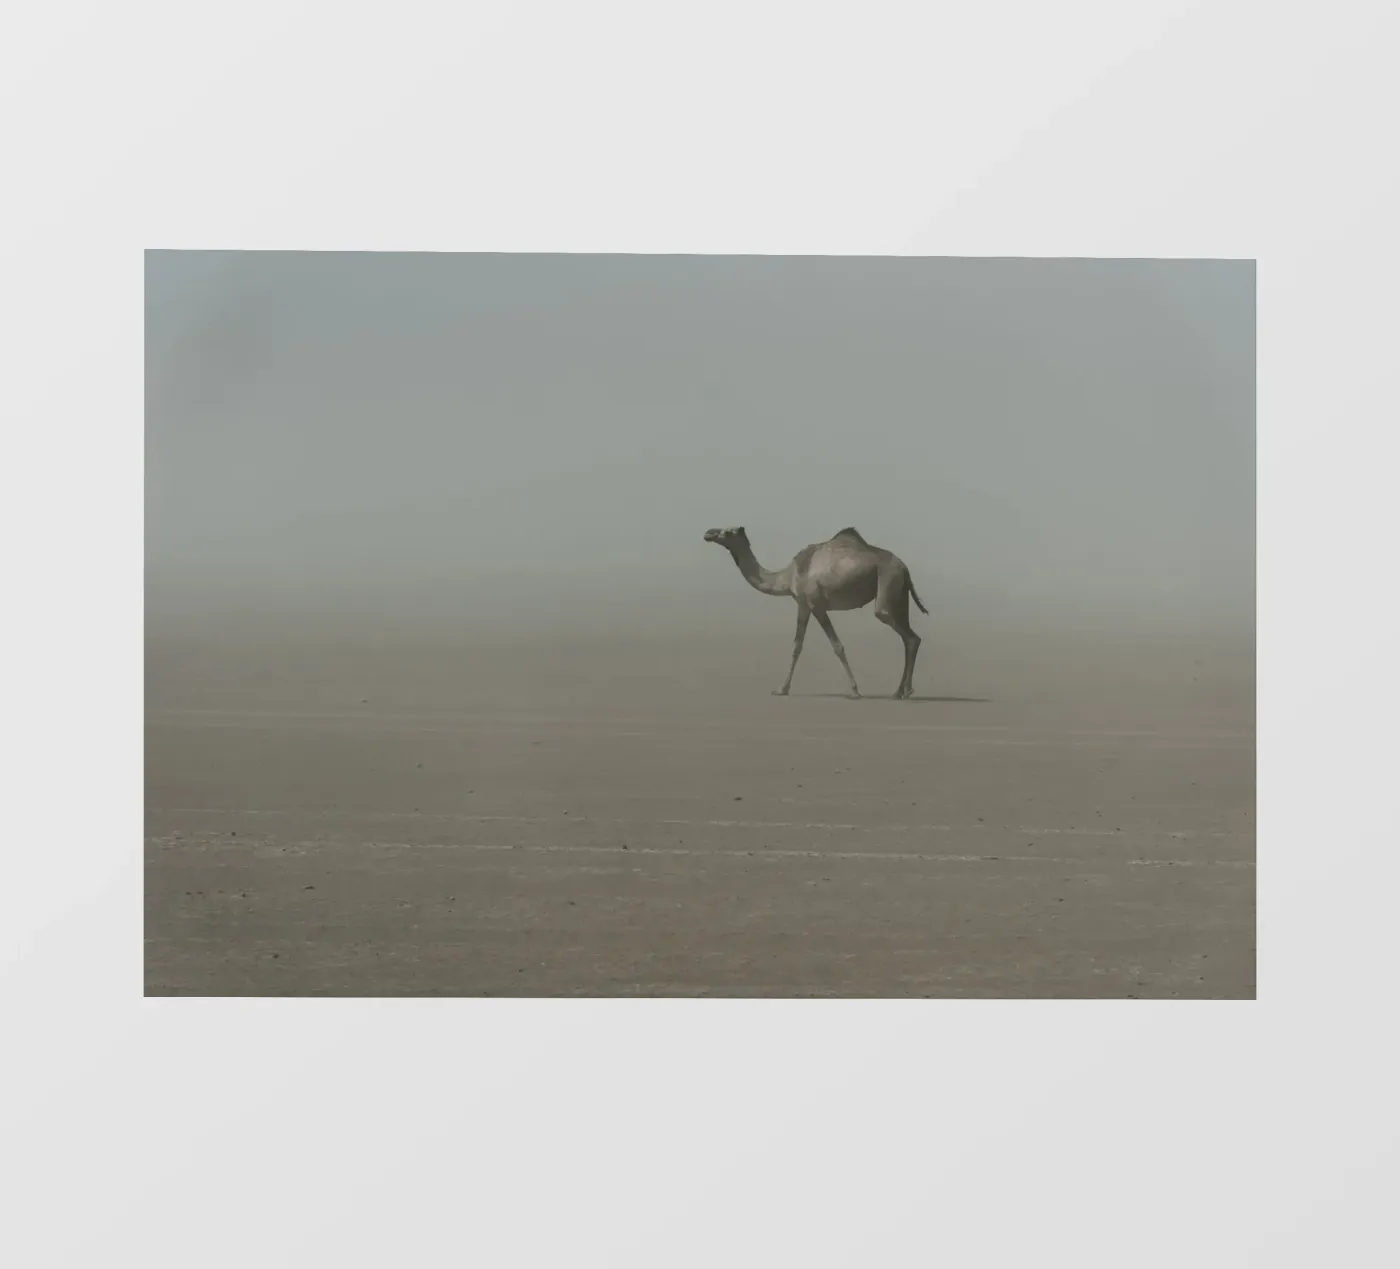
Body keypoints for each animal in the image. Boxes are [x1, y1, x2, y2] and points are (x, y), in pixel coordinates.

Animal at [703, 525, 929, 699]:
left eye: (728, 531)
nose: (708, 533)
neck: (787, 576)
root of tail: (905, 569)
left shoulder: (814, 604)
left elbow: (835, 646)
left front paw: (854, 691)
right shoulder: (803, 605)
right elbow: (797, 646)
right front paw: (782, 689)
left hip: (887, 584)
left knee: (906, 635)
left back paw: (906, 691)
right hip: (899, 594)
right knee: (909, 637)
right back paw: (899, 691)